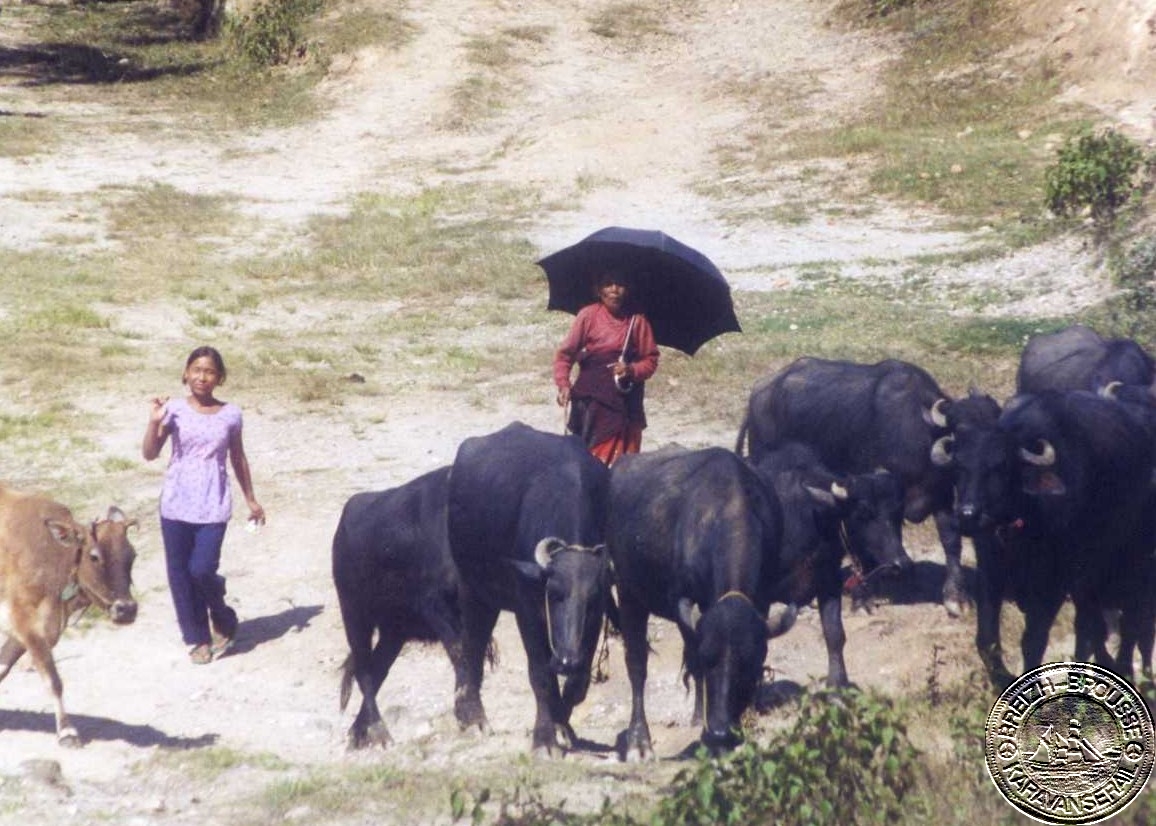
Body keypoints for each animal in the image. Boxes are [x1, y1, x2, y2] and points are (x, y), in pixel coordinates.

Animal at [0, 492, 138, 748]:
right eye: (94, 556)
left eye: (132, 555)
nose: (126, 610)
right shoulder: (27, 623)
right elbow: (53, 679)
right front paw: (66, 731)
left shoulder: (26, 630)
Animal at [443, 422, 614, 757]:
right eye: (555, 594)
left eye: (591, 601)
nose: (566, 661)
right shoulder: (527, 610)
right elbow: (540, 676)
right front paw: (545, 738)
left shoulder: (595, 620)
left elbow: (578, 684)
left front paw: (563, 724)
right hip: (474, 590)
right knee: (472, 648)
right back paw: (473, 717)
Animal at [739, 358, 966, 619]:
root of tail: (758, 392)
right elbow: (859, 541)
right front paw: (863, 597)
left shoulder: (940, 495)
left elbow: (950, 540)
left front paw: (955, 598)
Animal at [753, 443, 906, 688]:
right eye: (863, 513)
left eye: (898, 514)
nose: (899, 563)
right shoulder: (759, 596)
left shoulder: (828, 581)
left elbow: (834, 633)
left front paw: (838, 683)